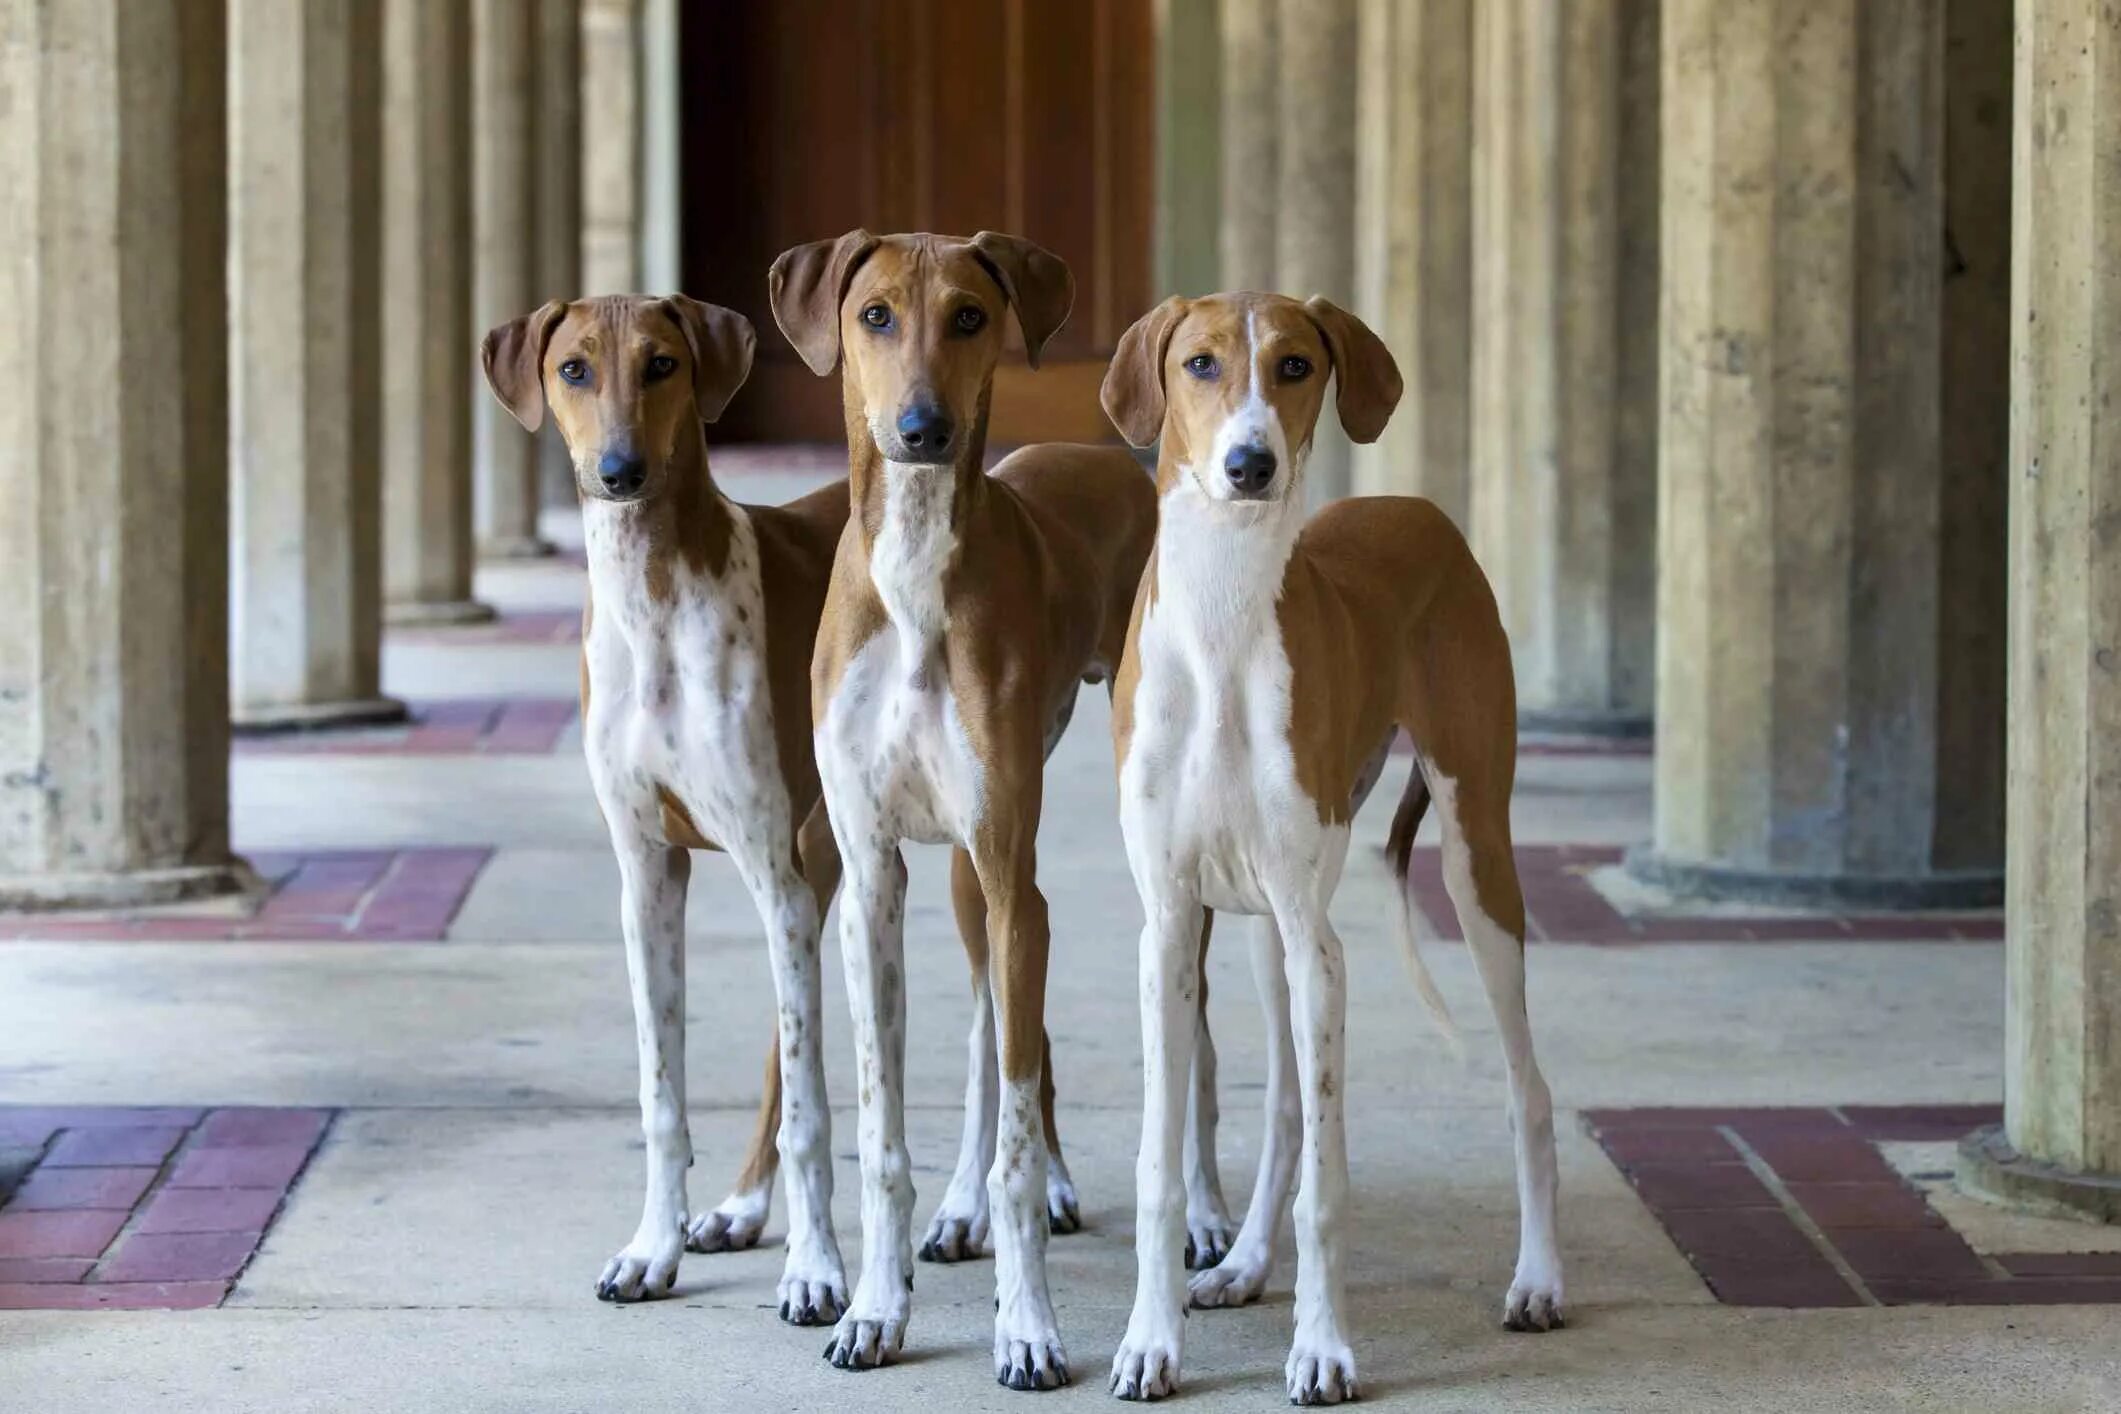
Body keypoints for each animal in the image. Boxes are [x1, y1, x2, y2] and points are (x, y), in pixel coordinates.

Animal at [483, 292, 861, 1322]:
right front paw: (652, 1248)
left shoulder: (770, 868)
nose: (619, 472)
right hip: (823, 860)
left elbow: (814, 1113)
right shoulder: (650, 875)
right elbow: (662, 1094)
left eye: (662, 364)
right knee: (784, 1044)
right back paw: (737, 1209)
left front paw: (816, 1271)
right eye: (573, 368)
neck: (652, 598)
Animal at [767, 235, 1153, 1390]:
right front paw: (874, 1307)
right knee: (989, 1031)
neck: (914, 570)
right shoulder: (872, 877)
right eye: (876, 315)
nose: (922, 429)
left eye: (972, 316)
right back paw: (957, 1210)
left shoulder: (1012, 873)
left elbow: (1020, 1138)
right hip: (965, 880)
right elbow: (887, 1128)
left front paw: (1026, 1326)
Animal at [1102, 290, 1569, 1407]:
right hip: (1264, 931)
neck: (1223, 620)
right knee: (1280, 1111)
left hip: (1474, 860)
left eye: (1297, 365)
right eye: (1199, 363)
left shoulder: (1323, 949)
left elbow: (1328, 1178)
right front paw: (1150, 1340)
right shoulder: (1170, 928)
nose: (1249, 464)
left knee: (1528, 1091)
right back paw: (1240, 1265)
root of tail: (1421, 511)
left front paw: (1321, 1348)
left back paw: (1538, 1279)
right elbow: (1162, 1164)